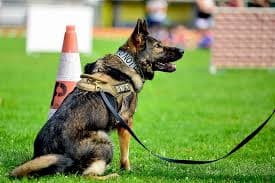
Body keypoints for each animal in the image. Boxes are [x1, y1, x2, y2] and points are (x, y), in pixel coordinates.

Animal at [10, 19, 184, 179]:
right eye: (158, 46)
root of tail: (56, 154)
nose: (182, 50)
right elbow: (125, 154)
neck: (130, 63)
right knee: (86, 175)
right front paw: (127, 170)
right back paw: (111, 175)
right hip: (104, 139)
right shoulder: (126, 123)